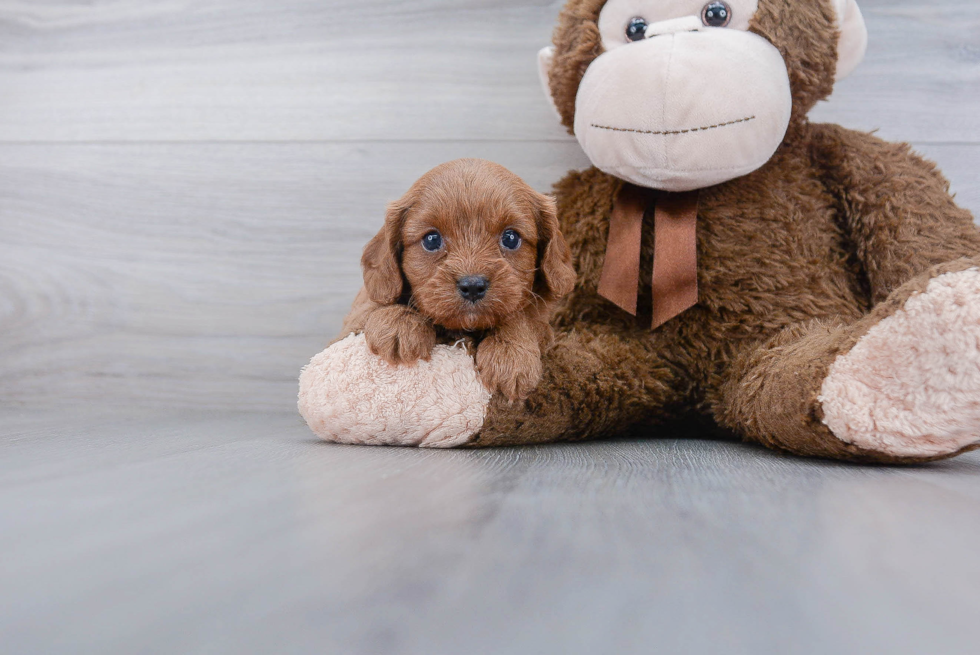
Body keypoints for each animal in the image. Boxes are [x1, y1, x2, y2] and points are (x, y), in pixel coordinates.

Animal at [342, 161, 580, 402]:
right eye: (431, 240)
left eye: (511, 238)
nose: (473, 286)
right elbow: (371, 305)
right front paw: (399, 321)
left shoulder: (543, 322)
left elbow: (522, 317)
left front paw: (511, 354)